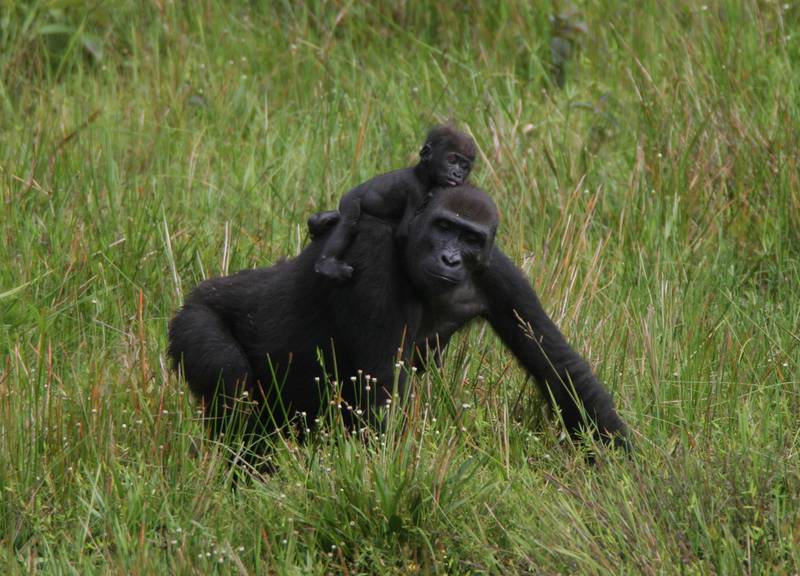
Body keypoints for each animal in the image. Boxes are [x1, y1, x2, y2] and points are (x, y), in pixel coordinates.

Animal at [169, 187, 628, 448]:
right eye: (444, 227)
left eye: (470, 238)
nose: (450, 258)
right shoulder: (370, 250)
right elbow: (378, 390)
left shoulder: (500, 272)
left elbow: (559, 366)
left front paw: (621, 469)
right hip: (194, 315)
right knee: (230, 380)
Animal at [310, 125, 476, 280]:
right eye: (452, 160)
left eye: (464, 167)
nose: (458, 174)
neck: (422, 173)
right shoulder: (415, 190)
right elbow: (404, 232)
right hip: (350, 198)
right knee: (348, 221)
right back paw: (326, 263)